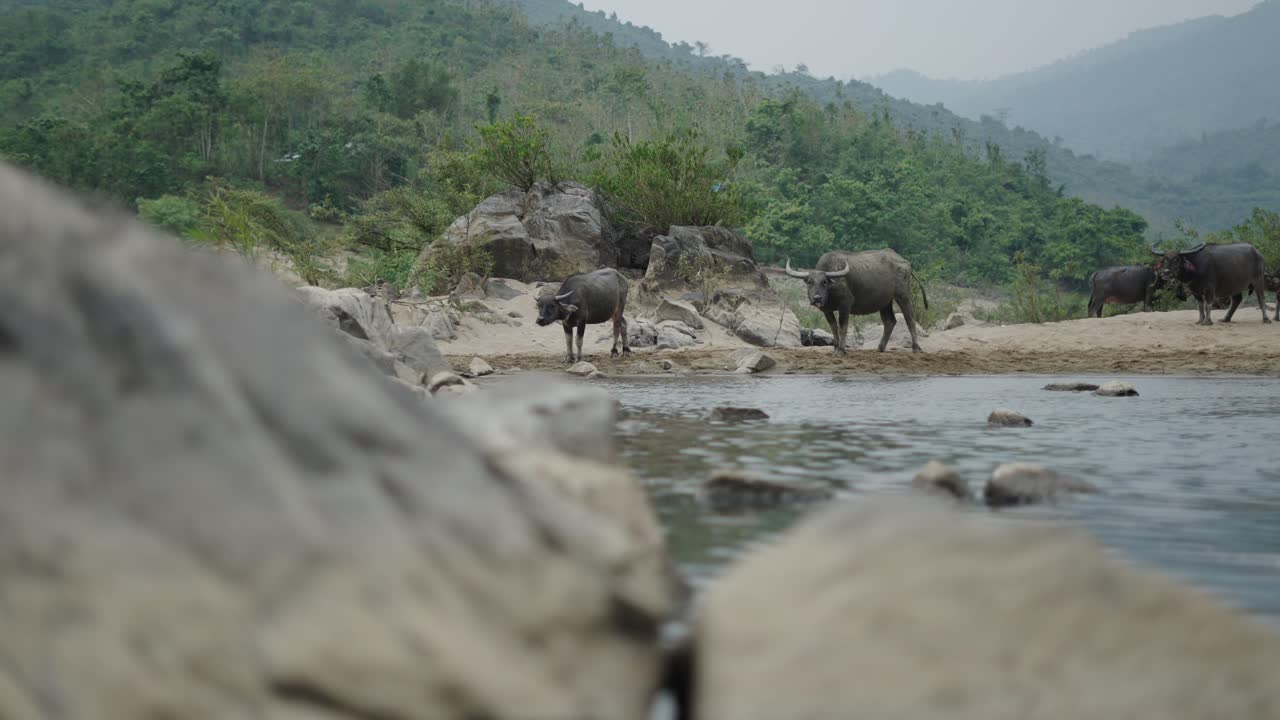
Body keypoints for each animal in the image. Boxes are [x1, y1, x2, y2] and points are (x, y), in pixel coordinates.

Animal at [785, 248, 928, 354]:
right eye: (810, 282)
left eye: (824, 281)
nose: (817, 298)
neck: (831, 291)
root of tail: (905, 262)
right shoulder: (827, 310)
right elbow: (834, 328)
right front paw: (835, 349)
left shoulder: (845, 306)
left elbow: (843, 327)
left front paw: (841, 351)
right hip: (885, 303)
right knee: (890, 321)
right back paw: (880, 348)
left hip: (903, 296)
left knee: (910, 319)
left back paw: (915, 348)